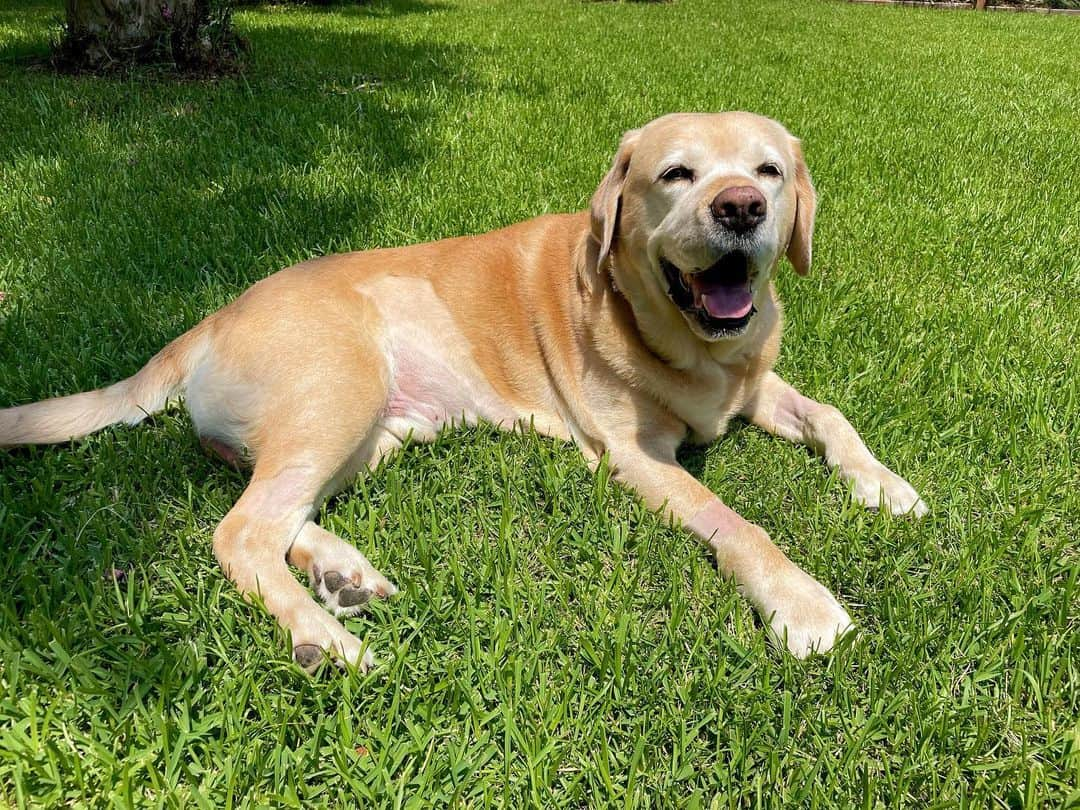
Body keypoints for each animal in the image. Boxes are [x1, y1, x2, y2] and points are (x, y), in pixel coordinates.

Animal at [0, 114, 928, 673]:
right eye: (676, 174)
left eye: (769, 171)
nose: (741, 208)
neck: (693, 345)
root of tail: (209, 316)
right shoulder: (638, 455)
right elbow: (737, 523)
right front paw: (801, 602)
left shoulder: (756, 382)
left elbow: (832, 416)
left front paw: (884, 485)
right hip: (343, 388)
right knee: (240, 531)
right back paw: (324, 636)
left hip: (375, 430)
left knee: (271, 509)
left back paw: (340, 573)